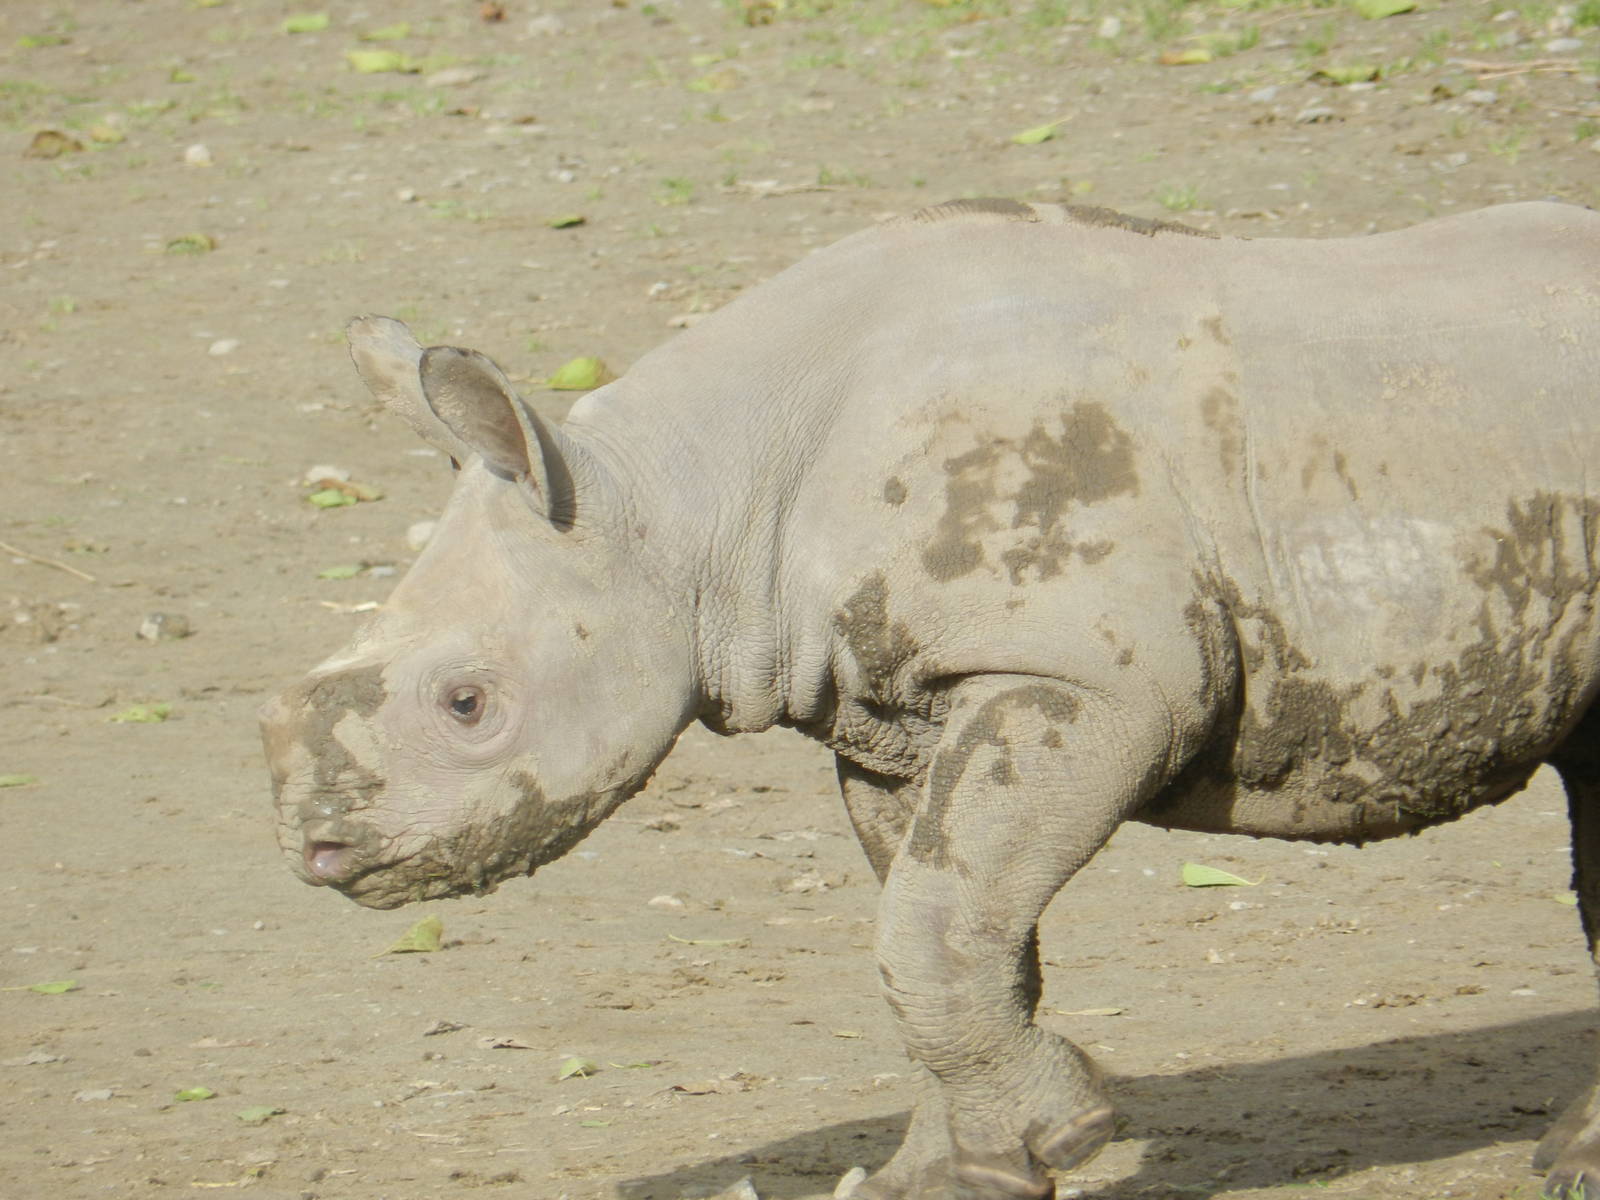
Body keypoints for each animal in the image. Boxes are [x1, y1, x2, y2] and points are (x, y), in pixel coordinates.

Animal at [260, 199, 1600, 1199]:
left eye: (467, 704)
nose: (315, 851)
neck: (684, 494)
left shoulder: (1087, 678)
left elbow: (927, 927)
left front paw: (1061, 1136)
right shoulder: (894, 716)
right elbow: (954, 934)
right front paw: (961, 1172)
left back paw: (1569, 1164)